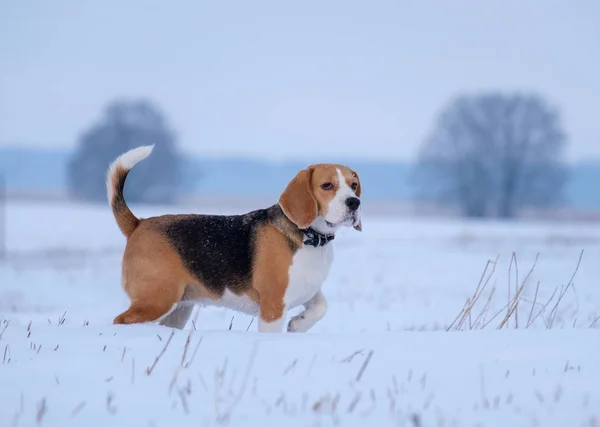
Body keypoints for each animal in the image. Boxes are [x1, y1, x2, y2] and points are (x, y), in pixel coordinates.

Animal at [106, 145, 360, 332]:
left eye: (354, 185)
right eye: (327, 185)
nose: (354, 203)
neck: (311, 237)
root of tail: (139, 223)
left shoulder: (308, 288)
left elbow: (321, 306)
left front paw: (299, 325)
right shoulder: (273, 306)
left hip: (178, 307)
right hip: (157, 299)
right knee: (120, 320)